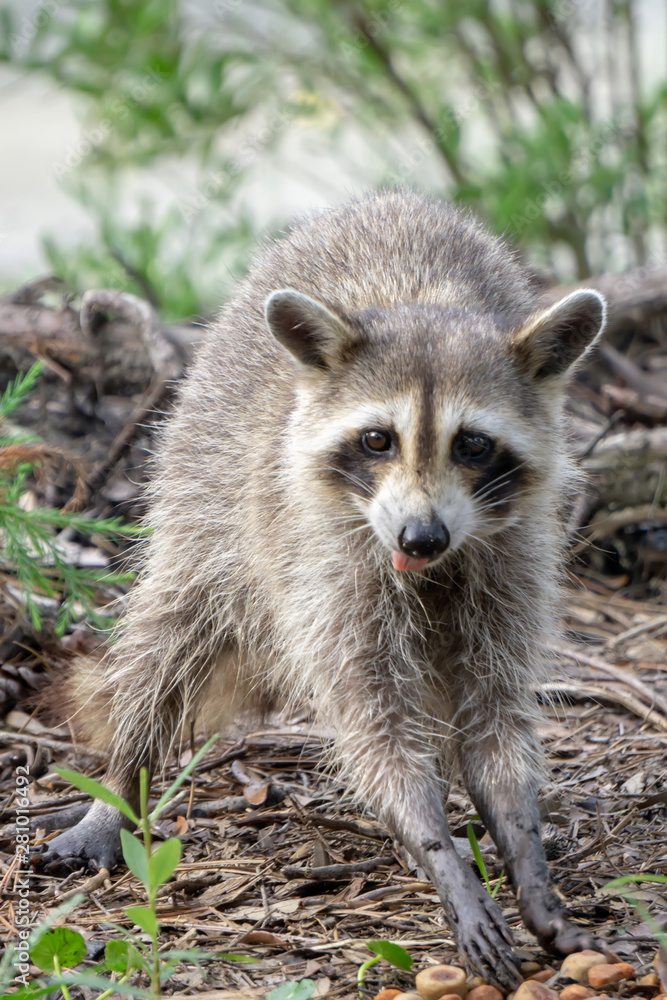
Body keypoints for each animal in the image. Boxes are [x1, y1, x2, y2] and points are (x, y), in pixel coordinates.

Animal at [35, 190, 606, 988]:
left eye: (472, 444)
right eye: (376, 440)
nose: (420, 538)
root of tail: (386, 199)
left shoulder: (511, 560)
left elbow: (493, 720)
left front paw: (524, 853)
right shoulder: (329, 565)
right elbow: (374, 725)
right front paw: (439, 852)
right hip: (203, 474)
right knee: (167, 632)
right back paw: (123, 785)